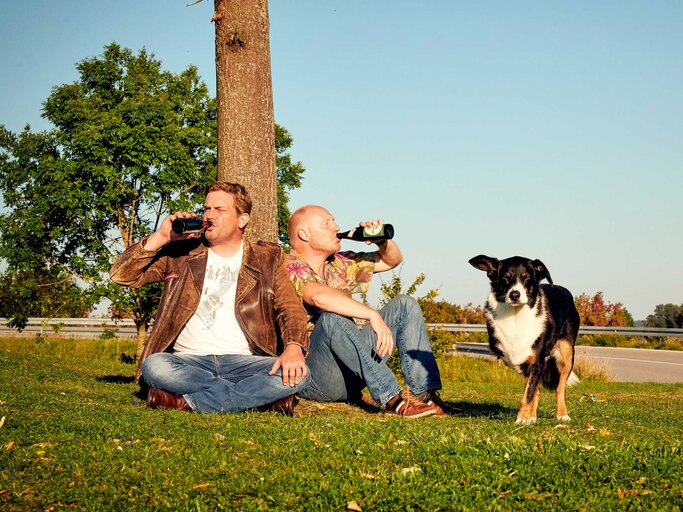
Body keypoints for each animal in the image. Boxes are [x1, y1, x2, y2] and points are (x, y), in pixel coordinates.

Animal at [470, 255, 576, 424]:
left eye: (526, 277)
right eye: (505, 278)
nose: (515, 295)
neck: (516, 316)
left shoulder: (536, 361)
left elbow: (528, 394)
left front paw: (522, 419)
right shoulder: (523, 360)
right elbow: (531, 391)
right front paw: (527, 417)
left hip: (566, 353)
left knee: (559, 388)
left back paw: (562, 414)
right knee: (538, 390)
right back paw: (533, 416)